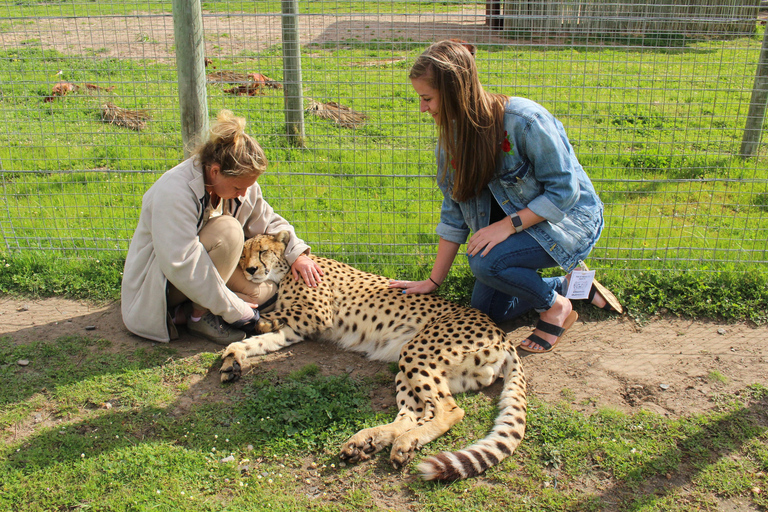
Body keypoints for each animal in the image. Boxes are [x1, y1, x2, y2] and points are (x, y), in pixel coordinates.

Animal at [219, 232, 524, 480]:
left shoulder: (316, 315)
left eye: (262, 251)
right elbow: (259, 340)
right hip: (408, 367)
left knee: (449, 410)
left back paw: (396, 442)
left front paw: (256, 323)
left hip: (416, 353)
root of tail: (501, 334)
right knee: (413, 414)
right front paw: (233, 358)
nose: (250, 269)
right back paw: (370, 442)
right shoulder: (296, 329)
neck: (284, 274)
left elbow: (267, 319)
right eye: (242, 255)